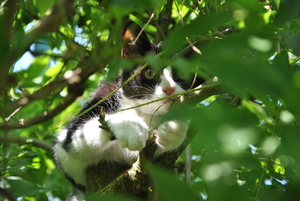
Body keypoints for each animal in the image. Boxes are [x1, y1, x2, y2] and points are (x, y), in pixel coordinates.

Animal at [53, 21, 204, 197]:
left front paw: (174, 129)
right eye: (149, 72)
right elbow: (75, 141)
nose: (169, 89)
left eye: (182, 73)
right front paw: (132, 127)